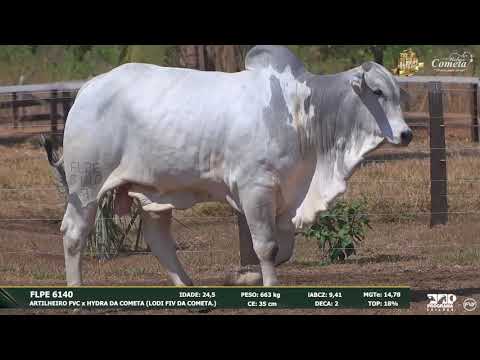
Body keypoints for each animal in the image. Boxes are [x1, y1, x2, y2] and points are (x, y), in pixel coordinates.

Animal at [46, 45, 412, 286]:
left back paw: (188, 290)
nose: (406, 134)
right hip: (86, 185)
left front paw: (246, 275)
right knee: (74, 233)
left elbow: (284, 248)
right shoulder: (256, 188)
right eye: (377, 92)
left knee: (158, 238)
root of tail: (89, 87)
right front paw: (266, 283)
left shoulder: (286, 195)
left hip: (154, 191)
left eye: (397, 92)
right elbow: (266, 246)